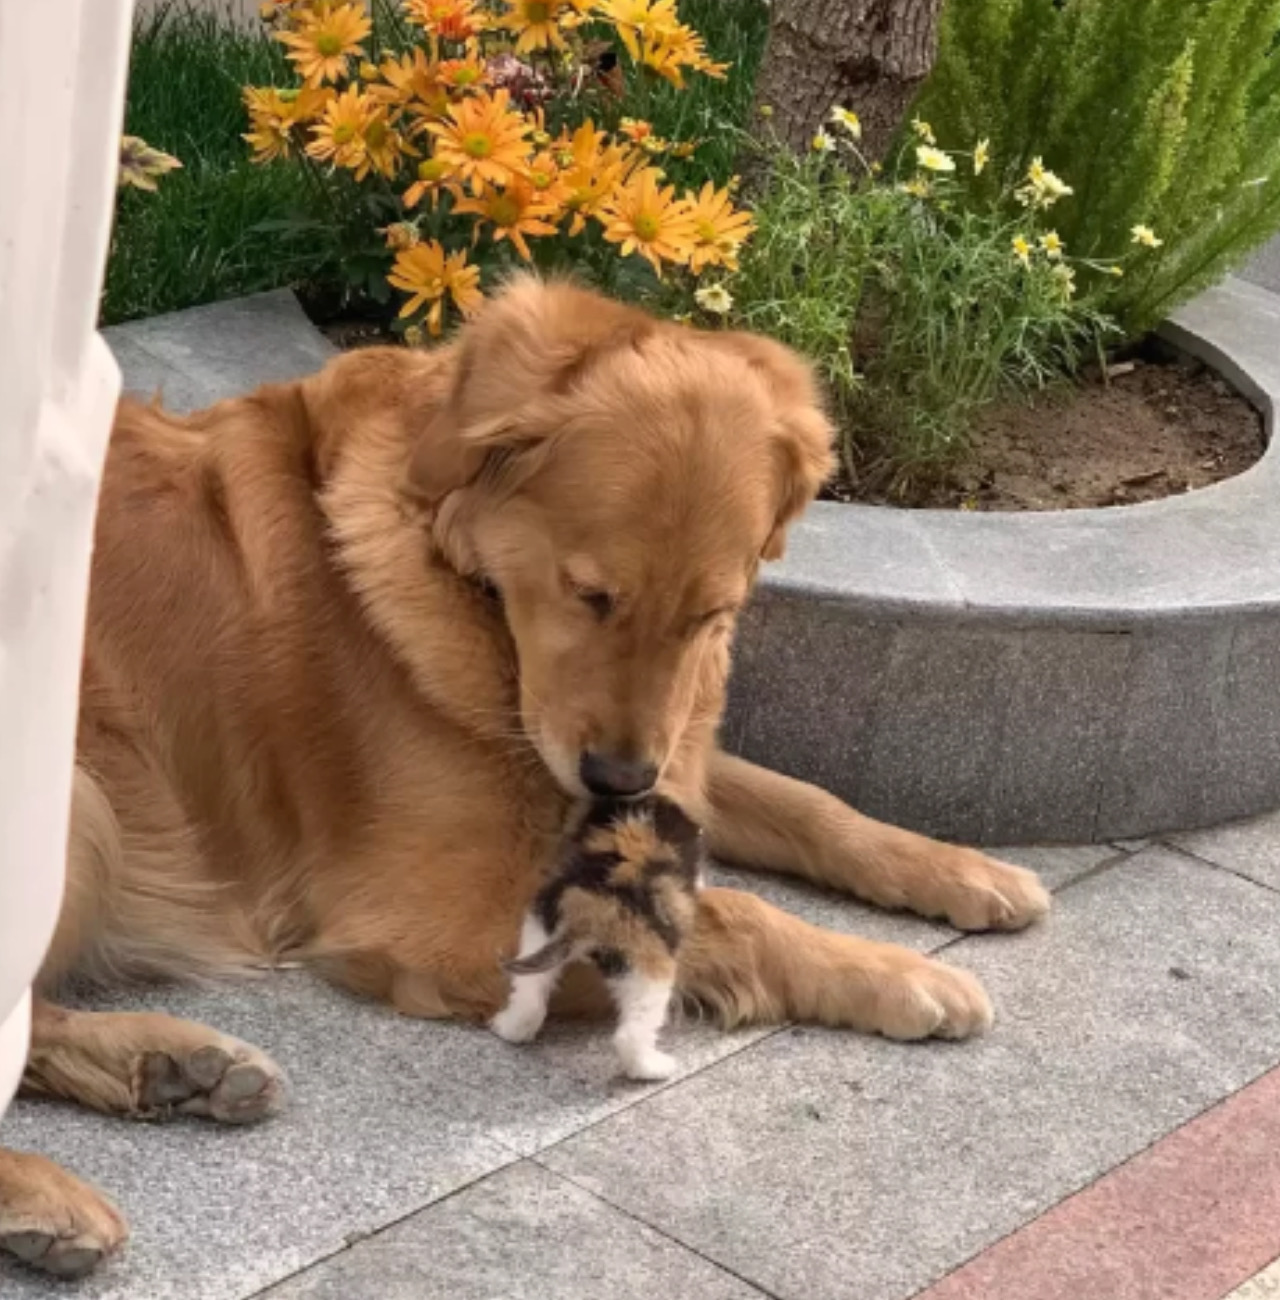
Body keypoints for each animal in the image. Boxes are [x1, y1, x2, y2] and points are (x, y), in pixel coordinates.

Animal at [491, 790, 706, 1076]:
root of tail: (588, 913)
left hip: (537, 928)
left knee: (530, 995)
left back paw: (510, 1029)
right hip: (648, 972)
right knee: (630, 1035)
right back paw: (654, 1068)